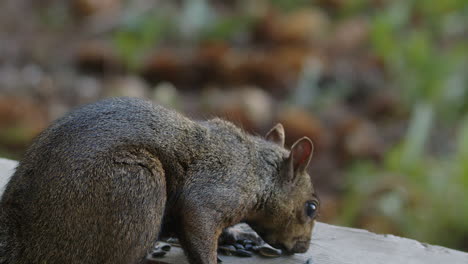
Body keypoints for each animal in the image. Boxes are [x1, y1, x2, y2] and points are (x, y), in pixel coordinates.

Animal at [0, 97, 320, 264]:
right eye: (311, 207)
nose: (303, 247)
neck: (258, 171)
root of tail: (27, 238)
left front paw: (238, 236)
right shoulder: (218, 188)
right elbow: (197, 222)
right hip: (136, 187)